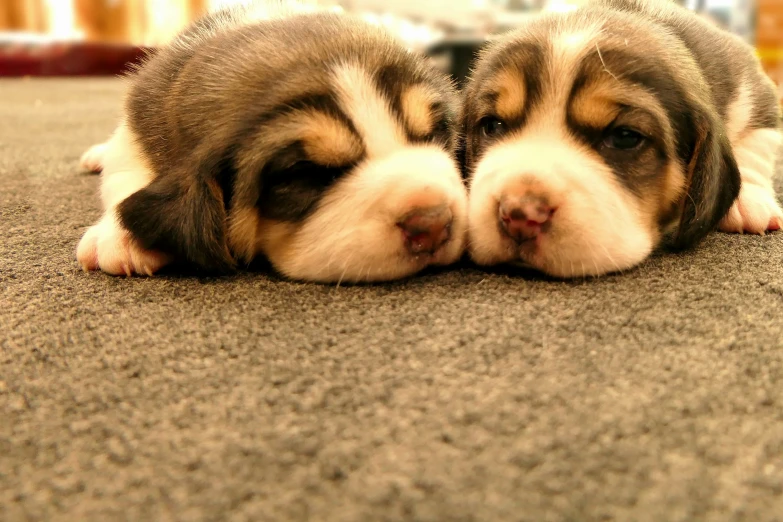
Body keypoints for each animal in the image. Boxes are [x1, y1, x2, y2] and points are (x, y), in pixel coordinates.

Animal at [78, 3, 472, 280]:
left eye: (434, 134)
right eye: (304, 174)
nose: (433, 223)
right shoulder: (140, 125)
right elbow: (125, 174)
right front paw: (121, 240)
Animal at [462, 0, 780, 276]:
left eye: (625, 137)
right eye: (492, 125)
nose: (519, 214)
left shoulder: (755, 89)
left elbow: (756, 143)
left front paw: (748, 200)